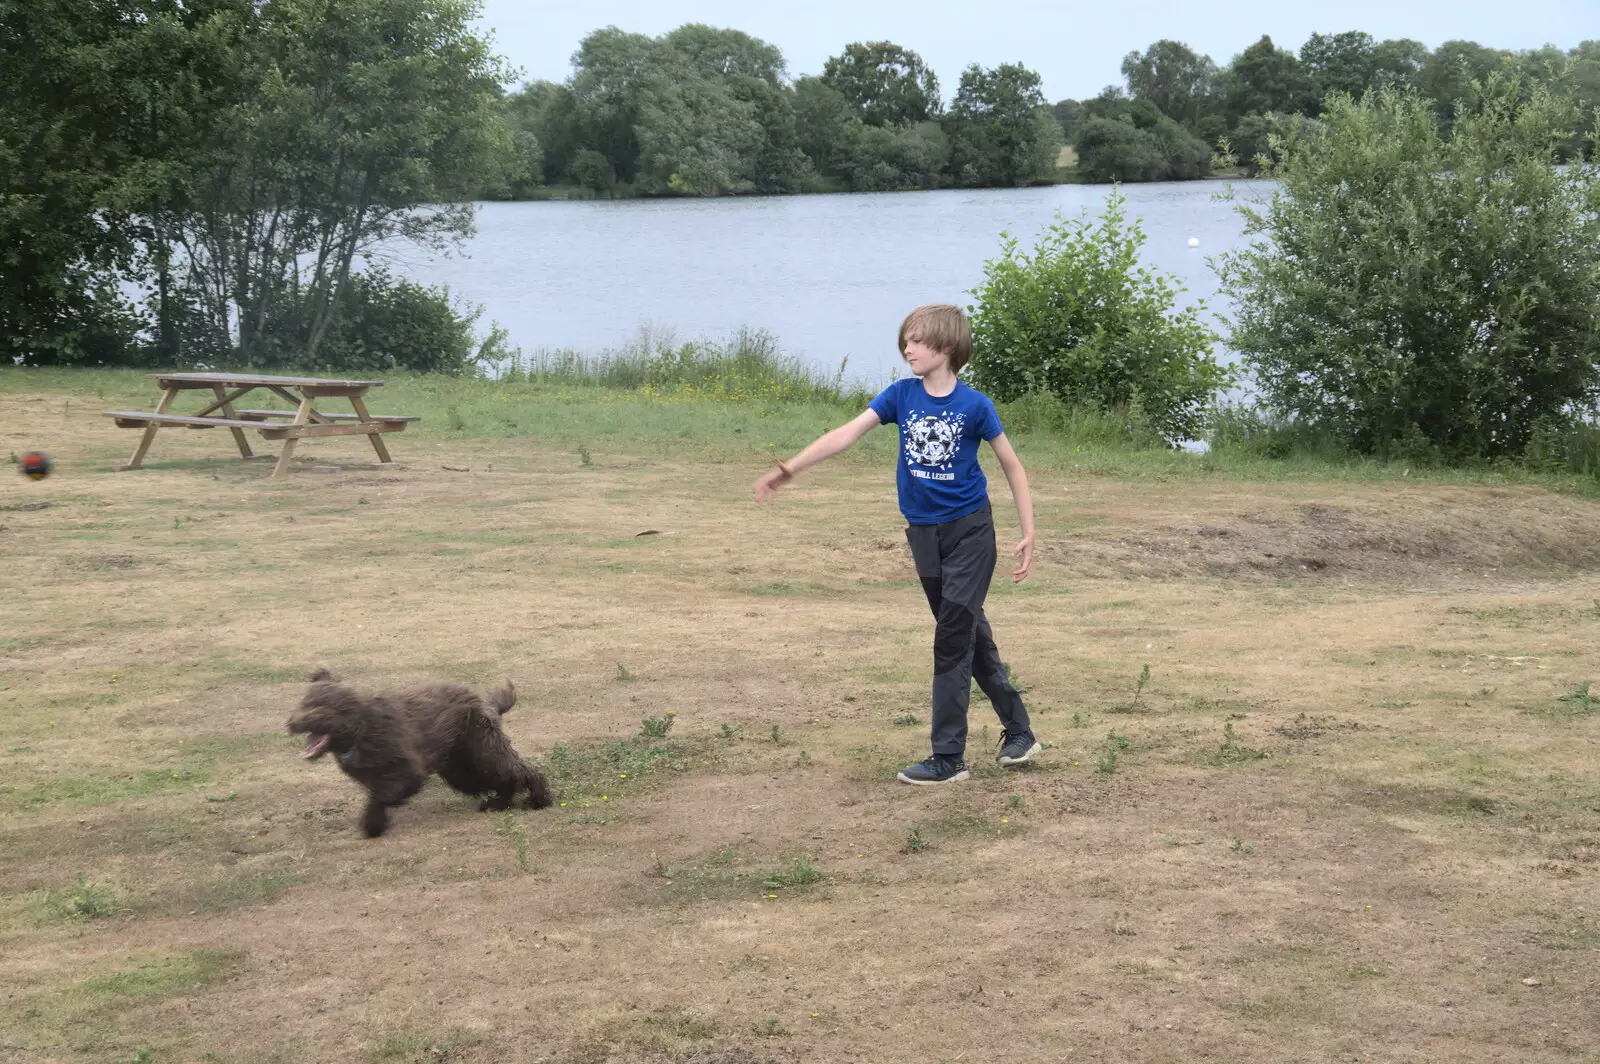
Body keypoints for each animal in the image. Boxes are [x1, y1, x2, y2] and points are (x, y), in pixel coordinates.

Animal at [288, 668, 556, 832]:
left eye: (320, 707)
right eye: (304, 702)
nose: (290, 723)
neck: (362, 727)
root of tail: (485, 703)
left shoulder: (408, 771)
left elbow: (380, 797)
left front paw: (373, 825)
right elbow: (376, 795)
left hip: (482, 753)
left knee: (522, 770)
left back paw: (539, 799)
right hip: (463, 769)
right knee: (505, 779)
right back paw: (498, 804)